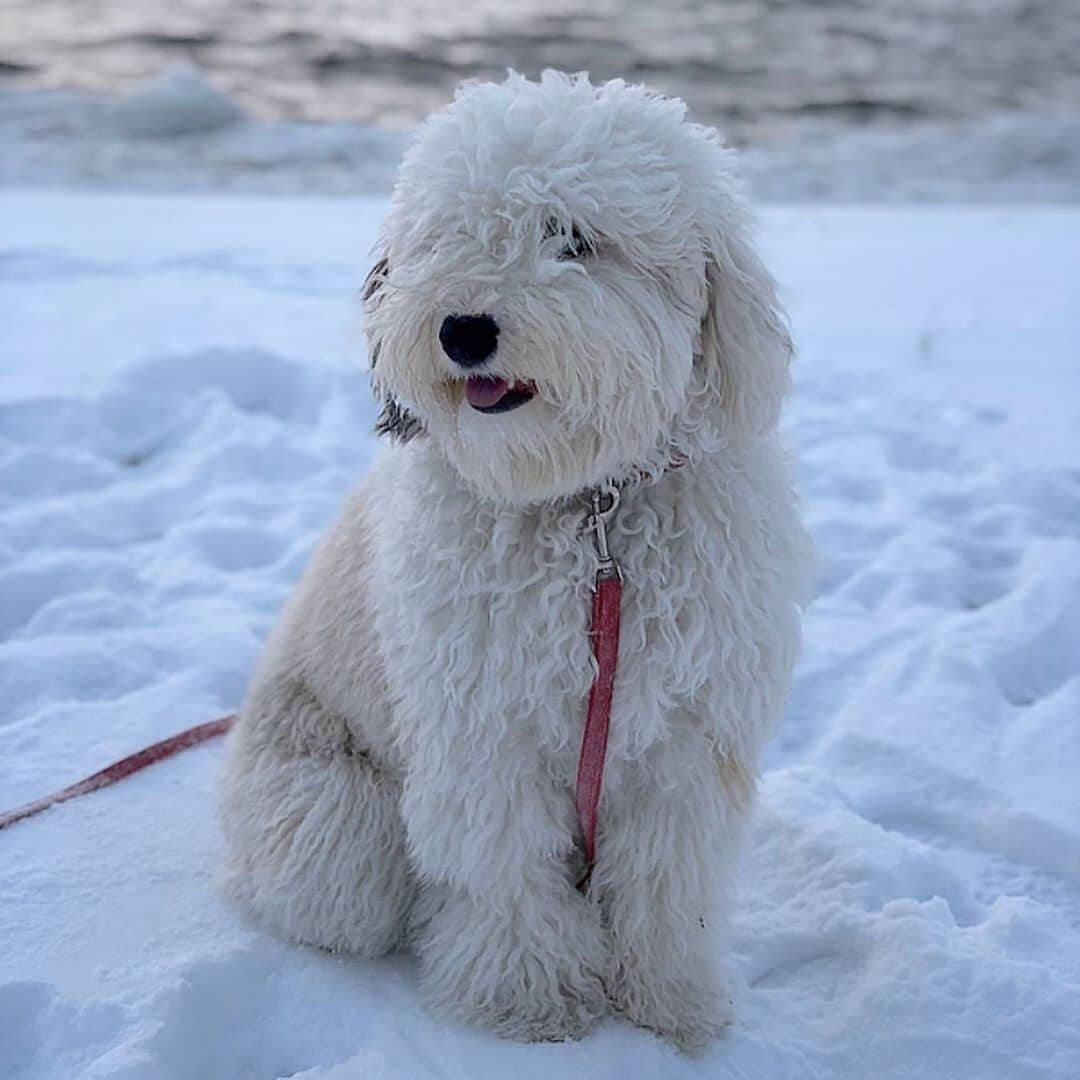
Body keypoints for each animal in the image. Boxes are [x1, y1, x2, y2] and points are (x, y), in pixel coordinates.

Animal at [217, 71, 812, 1049]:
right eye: (447, 236)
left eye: (573, 239)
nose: (463, 329)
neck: (589, 514)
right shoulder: (481, 726)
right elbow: (502, 870)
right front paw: (529, 998)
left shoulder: (690, 738)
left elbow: (667, 884)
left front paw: (672, 1002)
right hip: (336, 823)